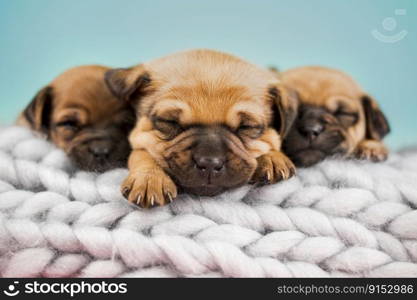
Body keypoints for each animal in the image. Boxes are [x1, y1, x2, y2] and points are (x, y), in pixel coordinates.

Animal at [105, 49, 298, 209]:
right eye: (169, 122)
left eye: (247, 126)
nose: (210, 163)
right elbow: (142, 154)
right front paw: (150, 179)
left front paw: (273, 158)